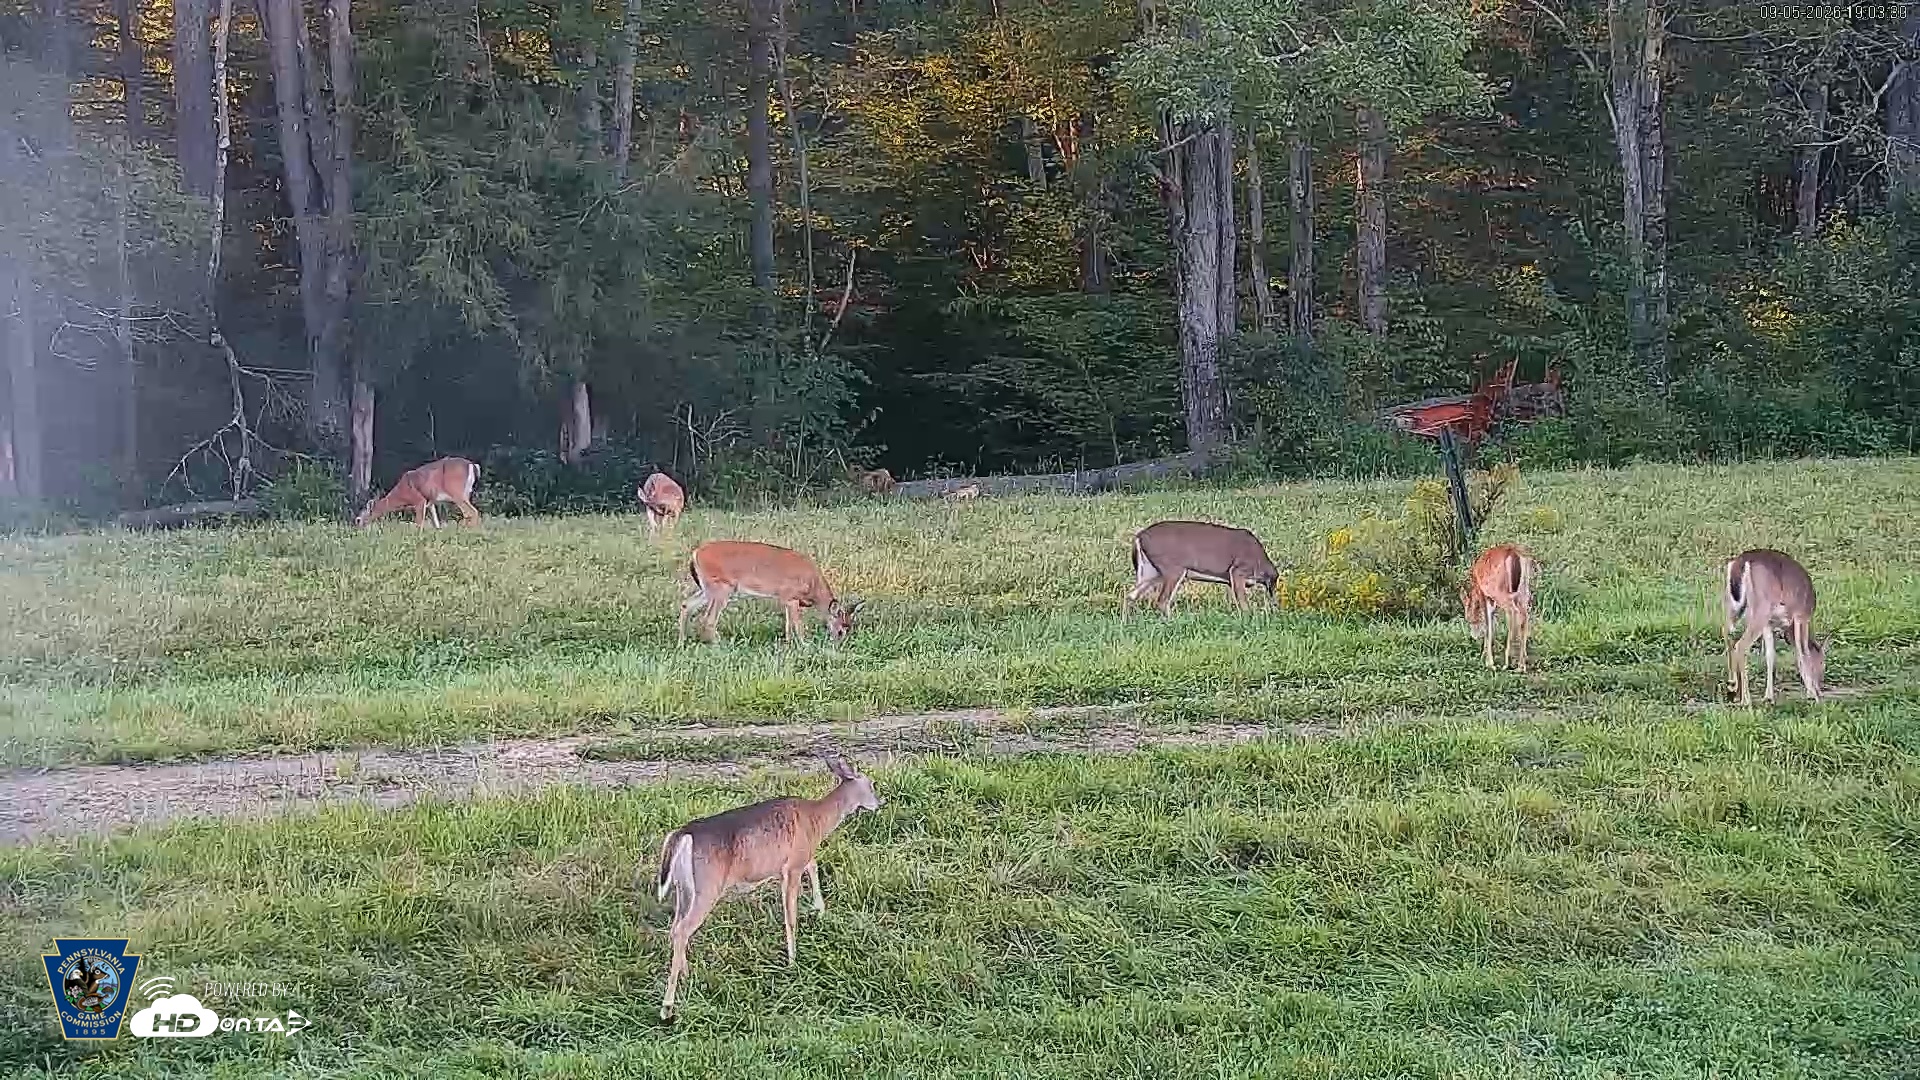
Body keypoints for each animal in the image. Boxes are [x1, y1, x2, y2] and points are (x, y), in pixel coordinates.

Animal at [655, 753, 883, 1021]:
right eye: (870, 785)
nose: (879, 803)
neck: (817, 820)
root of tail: (682, 835)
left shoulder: (801, 856)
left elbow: (814, 866)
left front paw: (821, 910)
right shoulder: (792, 864)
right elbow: (790, 916)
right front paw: (793, 961)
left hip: (683, 888)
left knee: (676, 927)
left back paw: (687, 974)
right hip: (707, 886)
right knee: (682, 930)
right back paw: (667, 1007)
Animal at [679, 540, 864, 645]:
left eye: (849, 629)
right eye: (840, 631)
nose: (839, 645)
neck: (813, 586)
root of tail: (695, 554)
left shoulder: (787, 601)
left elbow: (789, 626)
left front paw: (789, 646)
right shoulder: (790, 596)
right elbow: (798, 626)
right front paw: (804, 646)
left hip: (707, 588)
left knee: (686, 604)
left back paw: (682, 642)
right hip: (722, 587)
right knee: (708, 619)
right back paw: (719, 645)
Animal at [1123, 520, 1278, 618]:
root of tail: (1139, 537)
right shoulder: (1238, 570)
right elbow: (1243, 603)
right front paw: (1248, 618)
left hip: (1150, 571)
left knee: (1131, 595)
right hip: (1172, 568)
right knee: (1162, 600)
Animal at [1461, 543, 1538, 672]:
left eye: (1469, 619)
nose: (1473, 636)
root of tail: (1513, 554)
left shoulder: (1484, 594)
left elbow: (1487, 625)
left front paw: (1488, 662)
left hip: (1500, 590)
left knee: (1512, 612)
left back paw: (1507, 663)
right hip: (1524, 590)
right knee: (1524, 616)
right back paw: (1521, 664)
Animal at [1723, 548, 1825, 705]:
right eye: (1822, 663)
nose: (1820, 688)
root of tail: (1740, 562)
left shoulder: (1769, 624)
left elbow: (1770, 655)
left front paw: (1769, 697)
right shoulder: (1801, 616)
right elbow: (1803, 652)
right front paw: (1813, 695)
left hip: (1732, 607)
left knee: (1728, 635)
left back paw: (1732, 687)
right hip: (1761, 608)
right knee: (1740, 645)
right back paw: (1746, 700)